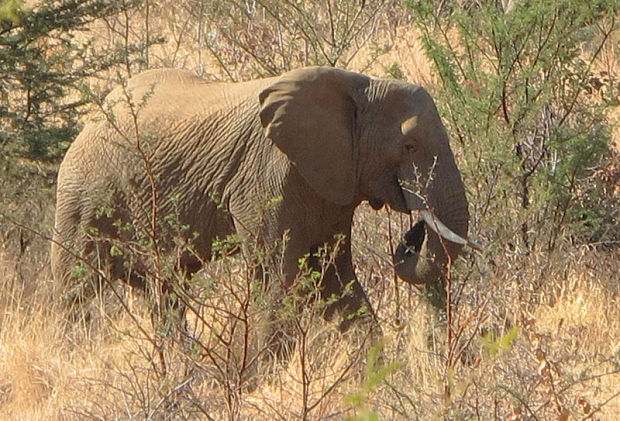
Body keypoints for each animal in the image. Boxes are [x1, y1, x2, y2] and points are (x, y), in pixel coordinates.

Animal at [50, 65, 472, 328]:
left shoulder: (331, 183)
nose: (412, 234)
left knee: (167, 290)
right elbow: (277, 285)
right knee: (76, 289)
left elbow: (337, 283)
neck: (359, 86)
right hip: (82, 194)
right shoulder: (266, 177)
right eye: (409, 146)